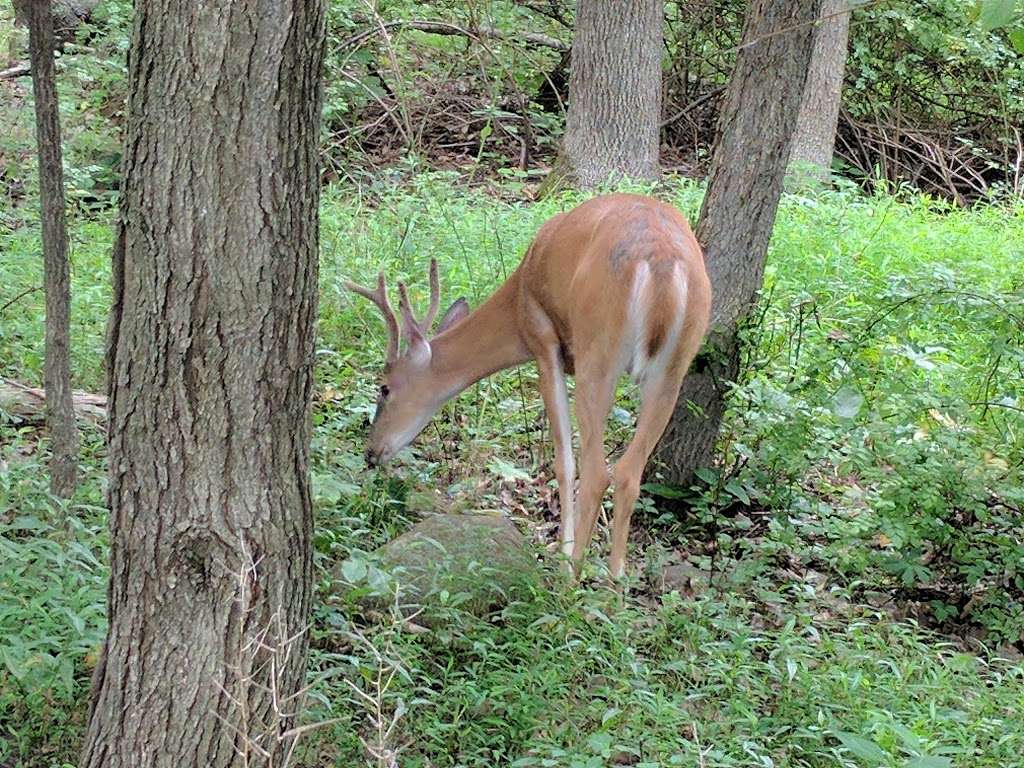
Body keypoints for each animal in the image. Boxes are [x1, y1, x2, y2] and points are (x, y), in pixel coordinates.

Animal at [348, 192, 708, 577]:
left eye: (384, 388)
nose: (370, 452)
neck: (517, 299)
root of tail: (662, 263)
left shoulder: (543, 339)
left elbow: (563, 463)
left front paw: (562, 553)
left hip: (597, 349)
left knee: (598, 472)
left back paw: (572, 575)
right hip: (674, 365)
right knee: (628, 473)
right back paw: (615, 583)